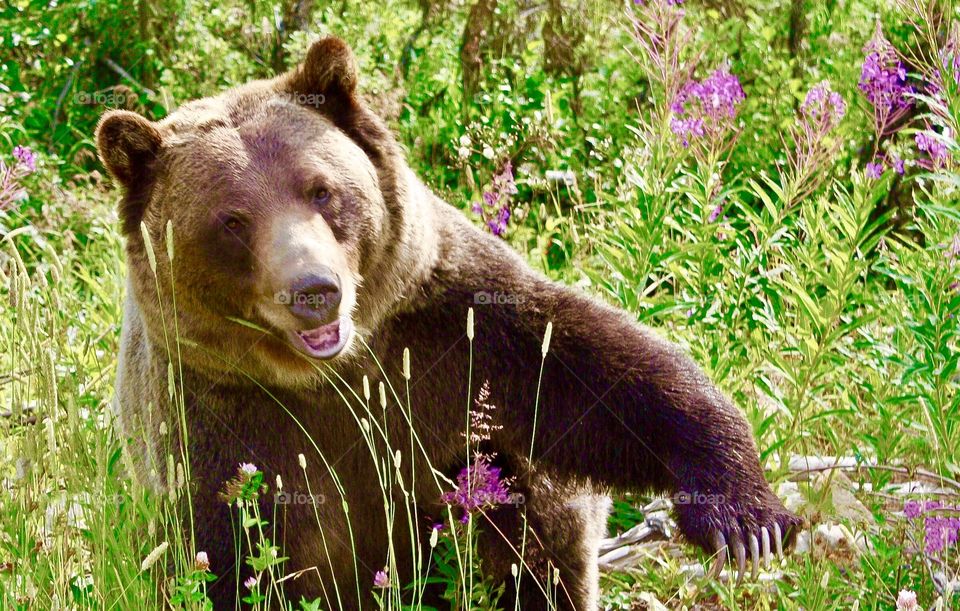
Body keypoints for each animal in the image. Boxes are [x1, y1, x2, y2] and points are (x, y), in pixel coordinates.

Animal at [96, 37, 801, 610]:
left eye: (321, 189)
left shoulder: (444, 323)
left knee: (528, 511)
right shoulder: (213, 417)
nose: (315, 291)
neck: (328, 375)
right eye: (232, 220)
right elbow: (228, 553)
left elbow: (597, 373)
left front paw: (746, 518)